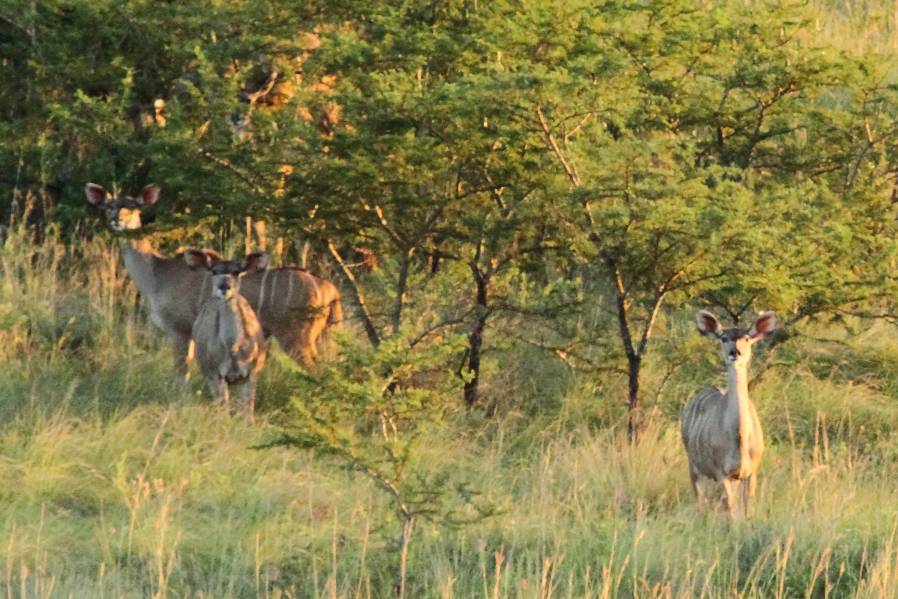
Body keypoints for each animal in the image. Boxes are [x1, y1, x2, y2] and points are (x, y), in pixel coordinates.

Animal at [86, 183, 344, 380]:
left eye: (134, 207)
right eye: (109, 206)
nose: (117, 220)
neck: (157, 274)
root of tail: (330, 289)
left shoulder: (179, 330)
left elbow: (181, 373)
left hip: (297, 337)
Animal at [184, 248, 264, 418]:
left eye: (236, 272)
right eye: (214, 271)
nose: (224, 286)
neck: (233, 345)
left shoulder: (250, 375)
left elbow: (248, 414)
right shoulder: (215, 375)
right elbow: (223, 413)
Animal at [680, 312, 768, 516]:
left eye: (747, 338)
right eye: (724, 338)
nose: (735, 352)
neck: (739, 438)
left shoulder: (750, 473)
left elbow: (746, 508)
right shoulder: (722, 473)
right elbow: (729, 508)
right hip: (694, 466)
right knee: (701, 500)